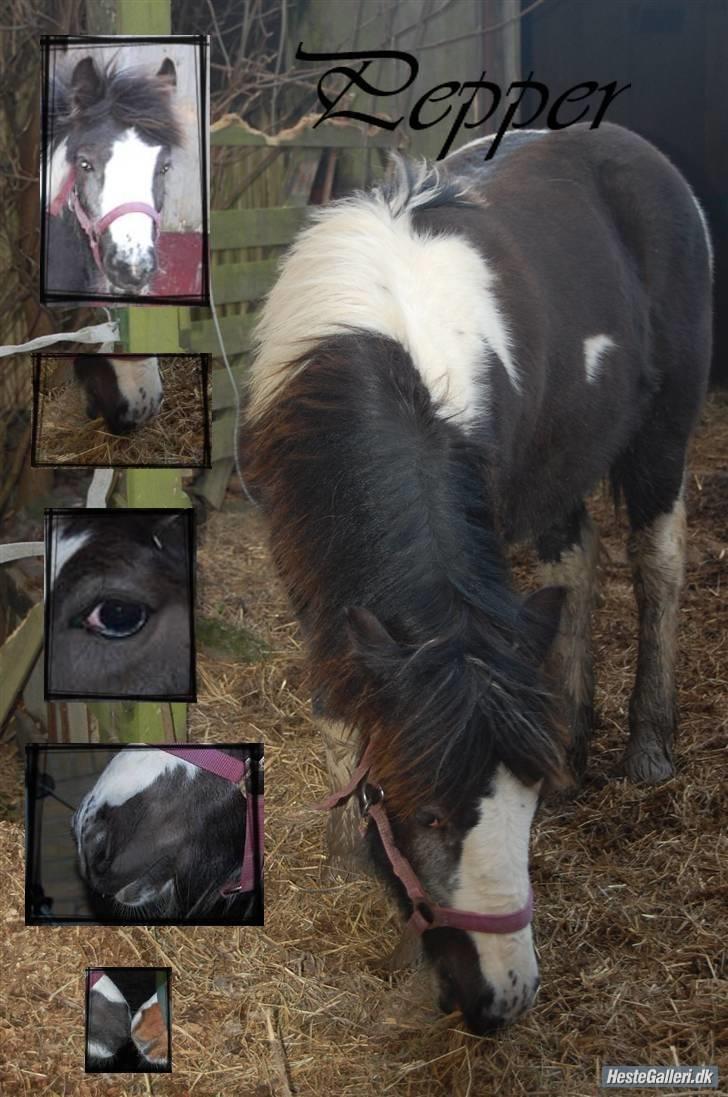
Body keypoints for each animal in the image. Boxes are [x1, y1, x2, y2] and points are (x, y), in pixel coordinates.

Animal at [247, 124, 714, 1031]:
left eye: (520, 810)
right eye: (428, 812)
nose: (505, 995)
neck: (378, 353)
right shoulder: (310, 573)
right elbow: (340, 710)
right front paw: (349, 849)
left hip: (662, 432)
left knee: (657, 562)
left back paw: (648, 743)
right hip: (566, 456)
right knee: (576, 562)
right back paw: (576, 731)